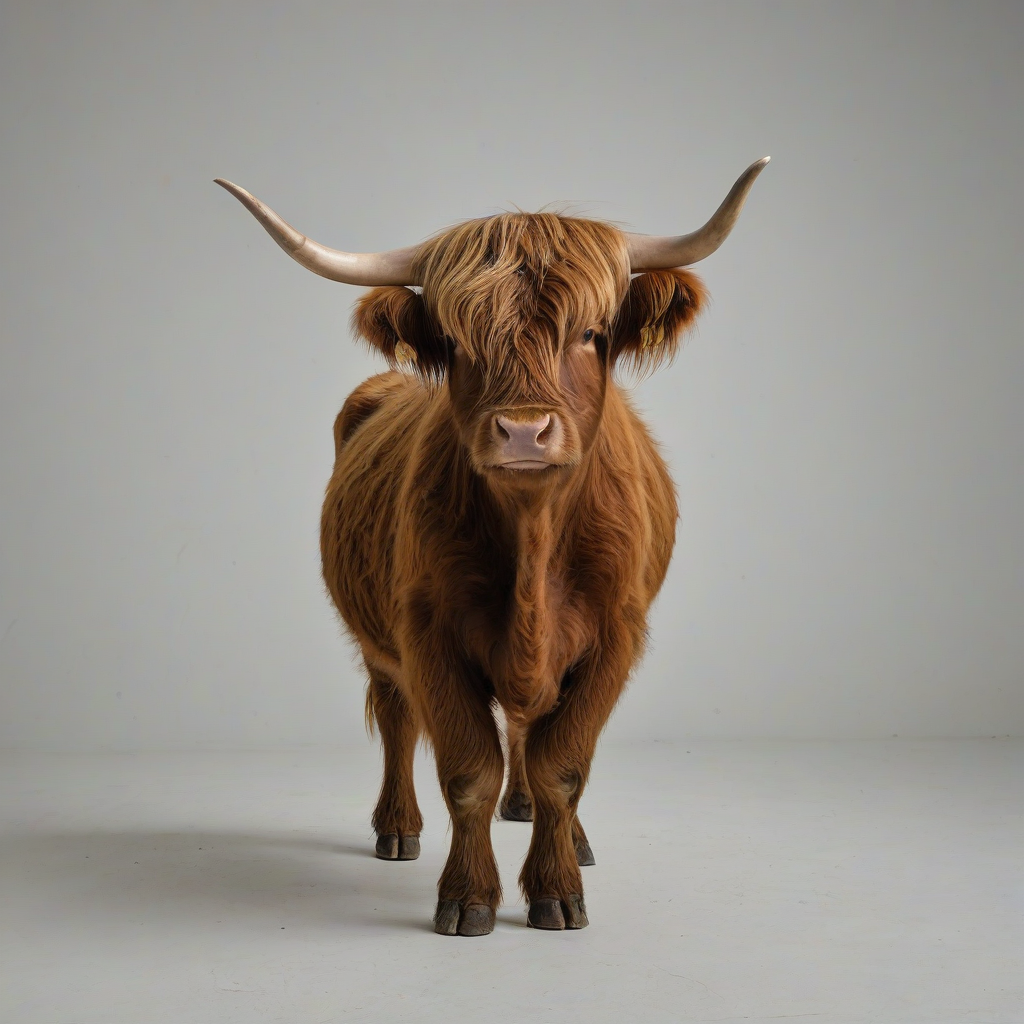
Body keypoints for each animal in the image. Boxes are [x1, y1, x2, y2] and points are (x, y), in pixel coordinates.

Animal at [216, 158, 768, 935]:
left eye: (591, 332)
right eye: (454, 342)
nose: (523, 431)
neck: (533, 542)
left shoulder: (616, 635)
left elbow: (563, 765)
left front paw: (559, 889)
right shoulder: (428, 632)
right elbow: (467, 769)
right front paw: (469, 895)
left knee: (531, 733)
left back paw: (553, 826)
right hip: (378, 641)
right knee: (397, 717)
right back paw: (398, 828)